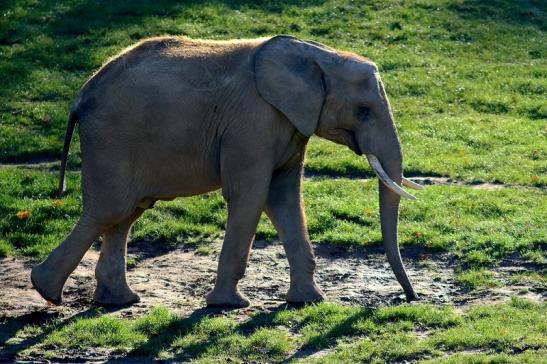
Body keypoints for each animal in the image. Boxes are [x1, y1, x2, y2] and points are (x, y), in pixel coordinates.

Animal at [31, 34, 424, 308]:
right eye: (363, 111)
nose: (408, 298)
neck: (317, 55)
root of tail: (81, 95)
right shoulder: (251, 125)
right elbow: (251, 196)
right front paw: (228, 305)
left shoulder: (290, 124)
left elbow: (284, 198)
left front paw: (308, 301)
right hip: (112, 140)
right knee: (107, 211)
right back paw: (46, 292)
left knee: (126, 213)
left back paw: (118, 301)